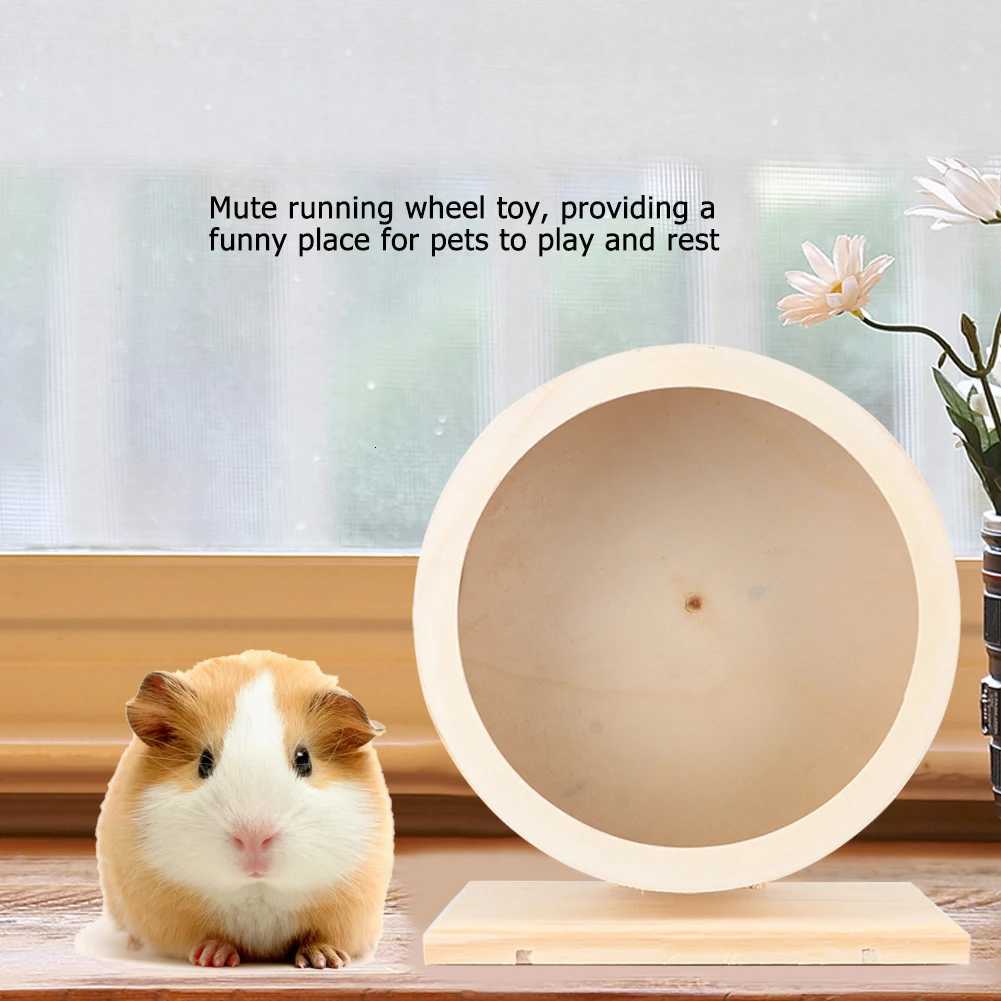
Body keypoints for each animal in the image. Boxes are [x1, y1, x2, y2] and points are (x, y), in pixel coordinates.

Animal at [96, 649, 393, 969]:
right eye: (204, 762)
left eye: (304, 760)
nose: (254, 837)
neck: (257, 890)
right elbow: (205, 938)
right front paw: (214, 957)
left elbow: (320, 936)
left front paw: (325, 960)